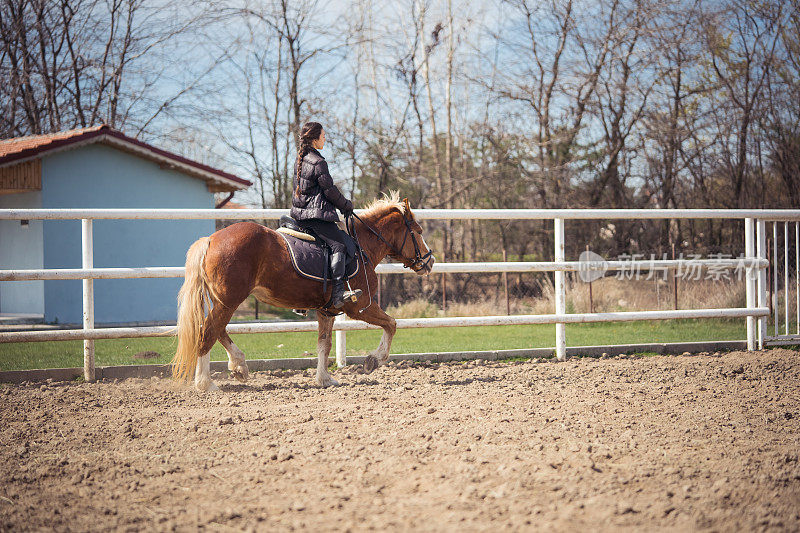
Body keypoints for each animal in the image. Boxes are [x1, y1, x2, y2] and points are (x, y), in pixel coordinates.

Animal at [171, 193, 434, 388]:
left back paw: (239, 366)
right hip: (229, 300)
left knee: (217, 329)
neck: (361, 247)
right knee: (208, 331)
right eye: (419, 232)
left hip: (225, 300)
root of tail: (210, 240)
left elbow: (324, 344)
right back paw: (205, 383)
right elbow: (391, 324)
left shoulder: (327, 311)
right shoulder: (360, 306)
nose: (429, 261)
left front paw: (325, 379)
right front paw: (373, 361)